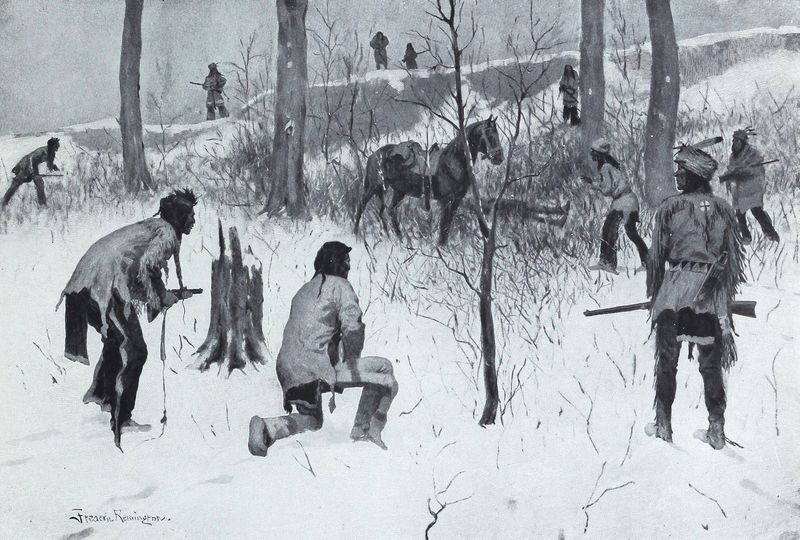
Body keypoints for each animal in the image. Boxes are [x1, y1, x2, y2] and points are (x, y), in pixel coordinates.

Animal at [354, 118, 504, 247]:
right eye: (490, 136)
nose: (499, 158)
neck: (452, 161)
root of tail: (374, 155)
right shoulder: (446, 201)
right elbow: (444, 225)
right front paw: (441, 247)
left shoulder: (456, 201)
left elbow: (448, 224)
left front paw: (443, 247)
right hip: (373, 187)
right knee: (361, 207)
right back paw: (355, 235)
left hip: (398, 191)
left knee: (389, 212)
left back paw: (398, 239)